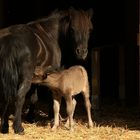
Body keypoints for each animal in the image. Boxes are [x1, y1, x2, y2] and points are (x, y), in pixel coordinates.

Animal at [0, 7, 93, 135]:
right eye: (72, 29)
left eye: (89, 30)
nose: (82, 52)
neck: (51, 34)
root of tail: (11, 40)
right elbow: (52, 98)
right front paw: (52, 119)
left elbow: (34, 97)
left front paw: (30, 118)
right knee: (19, 97)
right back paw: (18, 128)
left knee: (5, 98)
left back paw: (5, 127)